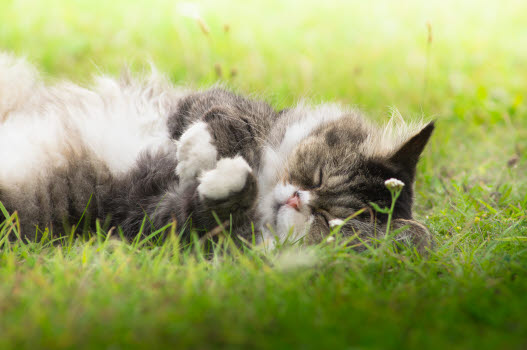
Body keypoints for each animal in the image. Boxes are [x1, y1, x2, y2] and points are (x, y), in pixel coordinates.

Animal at [1, 52, 434, 250]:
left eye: (328, 221)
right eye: (318, 177)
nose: (297, 199)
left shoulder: (145, 216)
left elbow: (207, 205)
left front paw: (222, 175)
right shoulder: (206, 103)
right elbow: (228, 123)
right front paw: (198, 150)